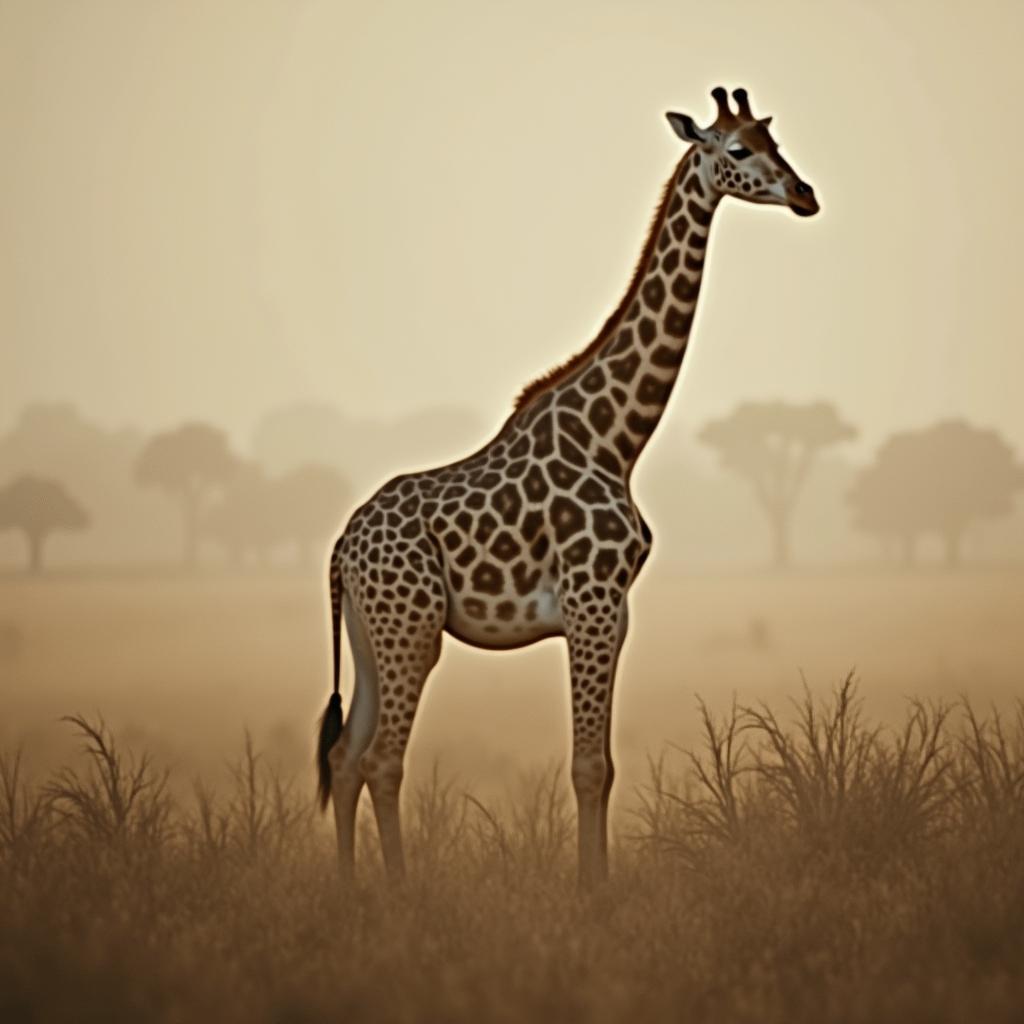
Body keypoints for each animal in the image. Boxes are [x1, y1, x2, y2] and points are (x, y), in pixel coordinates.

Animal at [316, 86, 819, 888]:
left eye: (777, 141)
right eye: (739, 150)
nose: (805, 195)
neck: (618, 439)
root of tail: (341, 547)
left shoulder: (616, 609)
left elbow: (603, 766)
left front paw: (597, 885)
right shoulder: (592, 600)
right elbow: (588, 766)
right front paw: (592, 895)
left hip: (372, 635)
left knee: (342, 756)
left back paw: (349, 890)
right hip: (411, 628)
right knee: (381, 760)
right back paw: (398, 894)